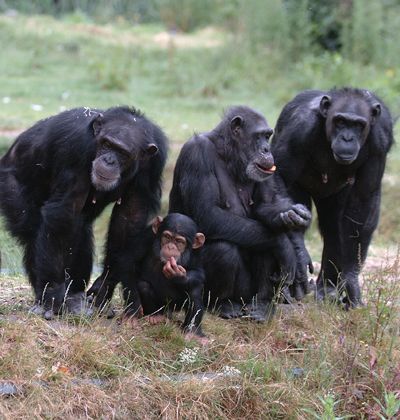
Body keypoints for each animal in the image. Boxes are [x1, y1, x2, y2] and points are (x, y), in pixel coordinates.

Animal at [0, 106, 168, 320]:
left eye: (123, 152)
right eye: (106, 144)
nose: (109, 160)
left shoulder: (154, 164)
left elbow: (129, 217)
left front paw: (103, 288)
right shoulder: (76, 147)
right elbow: (65, 211)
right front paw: (52, 296)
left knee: (79, 231)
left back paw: (74, 296)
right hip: (9, 187)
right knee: (35, 231)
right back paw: (44, 298)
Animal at [137, 212, 206, 340]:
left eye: (179, 241)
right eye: (167, 237)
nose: (170, 247)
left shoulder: (197, 253)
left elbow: (199, 272)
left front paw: (177, 275)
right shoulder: (146, 238)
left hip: (176, 306)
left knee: (194, 291)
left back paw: (193, 331)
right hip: (163, 307)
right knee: (143, 285)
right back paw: (156, 316)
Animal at [169, 106, 312, 322]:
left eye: (268, 136)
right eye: (259, 136)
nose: (267, 149)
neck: (228, 156)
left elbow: (265, 205)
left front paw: (292, 218)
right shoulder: (196, 154)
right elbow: (208, 214)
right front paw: (286, 246)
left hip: (249, 294)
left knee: (263, 241)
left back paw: (262, 305)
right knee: (226, 249)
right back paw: (223, 304)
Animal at [272, 87, 394, 306]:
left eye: (358, 125)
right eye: (340, 121)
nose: (347, 138)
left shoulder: (381, 139)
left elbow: (363, 198)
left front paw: (351, 280)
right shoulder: (300, 129)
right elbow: (280, 175)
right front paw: (299, 253)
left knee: (335, 228)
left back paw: (327, 289)